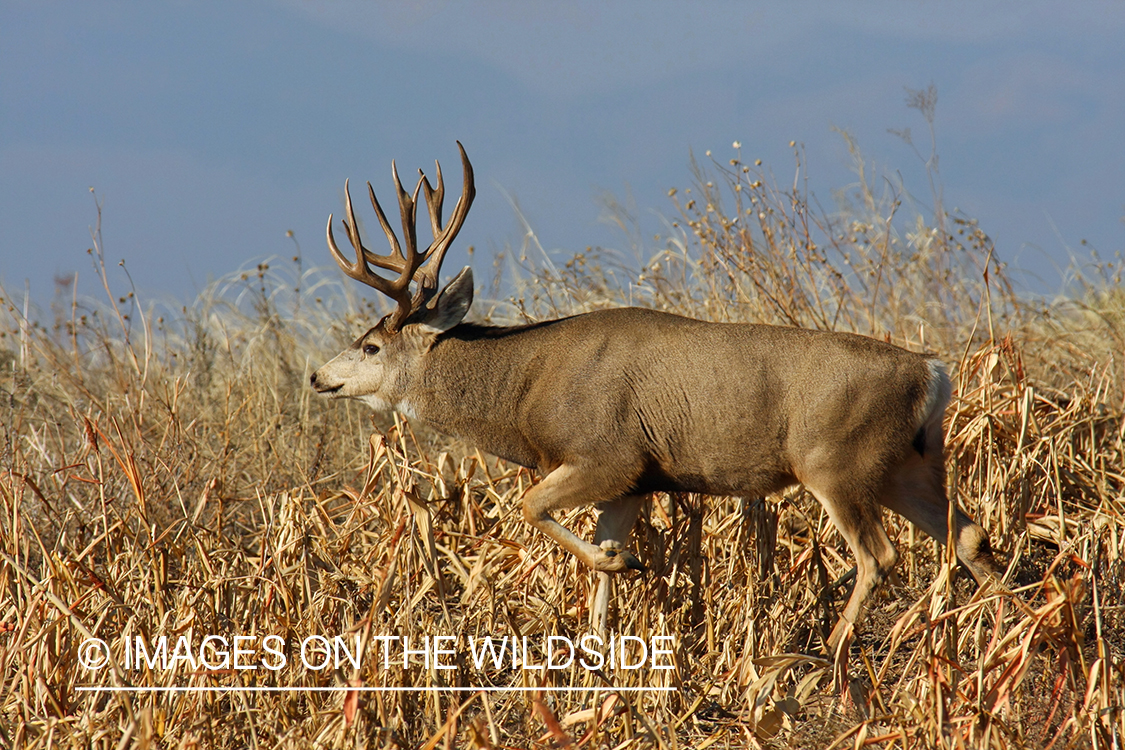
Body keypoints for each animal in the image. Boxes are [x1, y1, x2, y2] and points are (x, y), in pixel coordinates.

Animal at [310, 142, 1003, 652]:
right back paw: (1007, 626)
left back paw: (828, 653)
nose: (319, 376)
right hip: (906, 463)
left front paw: (624, 565)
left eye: (370, 346)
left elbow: (531, 506)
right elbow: (596, 568)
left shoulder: (607, 454)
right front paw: (600, 637)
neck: (525, 391)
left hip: (835, 459)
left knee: (879, 554)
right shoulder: (635, 481)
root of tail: (933, 372)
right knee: (967, 534)